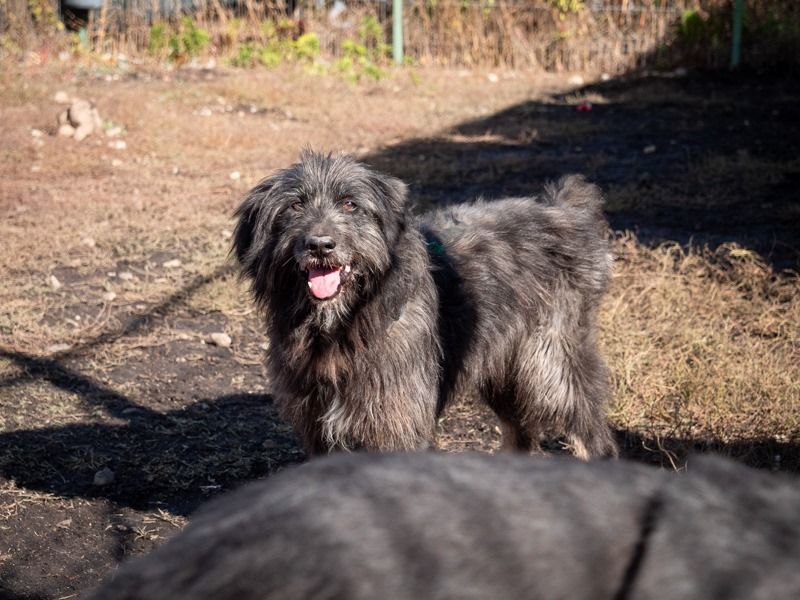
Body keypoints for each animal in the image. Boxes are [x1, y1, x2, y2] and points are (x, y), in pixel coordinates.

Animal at [231, 152, 620, 458]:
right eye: (295, 205)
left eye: (350, 204)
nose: (320, 245)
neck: (345, 324)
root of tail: (563, 210)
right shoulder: (317, 425)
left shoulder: (396, 423)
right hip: (502, 366)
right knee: (520, 433)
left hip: (551, 366)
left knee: (594, 438)